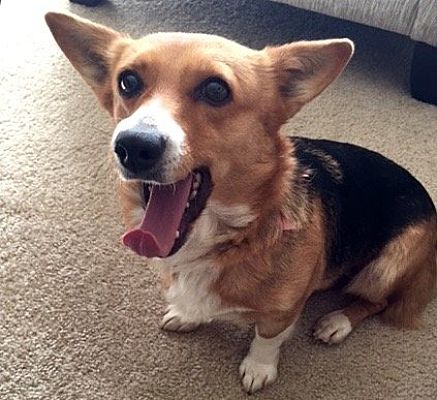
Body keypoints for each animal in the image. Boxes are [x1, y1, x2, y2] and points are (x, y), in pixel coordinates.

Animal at [45, 12, 436, 394]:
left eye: (216, 90)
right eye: (127, 82)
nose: (132, 146)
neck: (228, 235)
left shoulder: (282, 312)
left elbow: (267, 339)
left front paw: (258, 369)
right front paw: (187, 316)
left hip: (384, 268)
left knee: (377, 301)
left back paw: (336, 322)